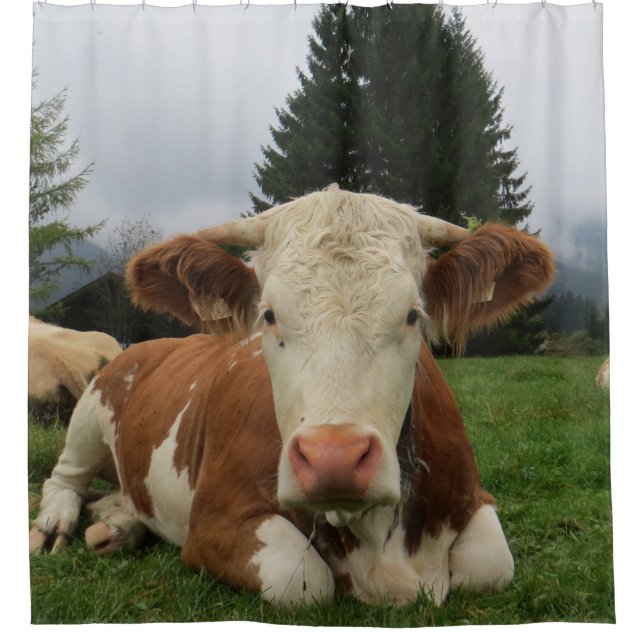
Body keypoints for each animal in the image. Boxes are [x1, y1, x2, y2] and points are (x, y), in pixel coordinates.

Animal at [29, 186, 555, 606]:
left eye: (412, 315)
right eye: (268, 315)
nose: (333, 457)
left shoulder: (474, 498)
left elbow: (491, 564)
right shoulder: (214, 525)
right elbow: (300, 578)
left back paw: (118, 523)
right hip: (90, 412)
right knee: (64, 479)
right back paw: (55, 525)